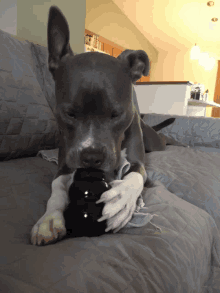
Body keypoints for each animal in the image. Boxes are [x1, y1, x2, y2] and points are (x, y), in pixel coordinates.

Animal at [31, 6, 186, 244]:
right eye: (69, 113)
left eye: (116, 114)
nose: (91, 157)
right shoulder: (64, 164)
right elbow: (56, 188)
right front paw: (49, 219)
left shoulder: (136, 161)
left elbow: (134, 176)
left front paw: (121, 200)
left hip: (154, 141)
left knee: (165, 138)